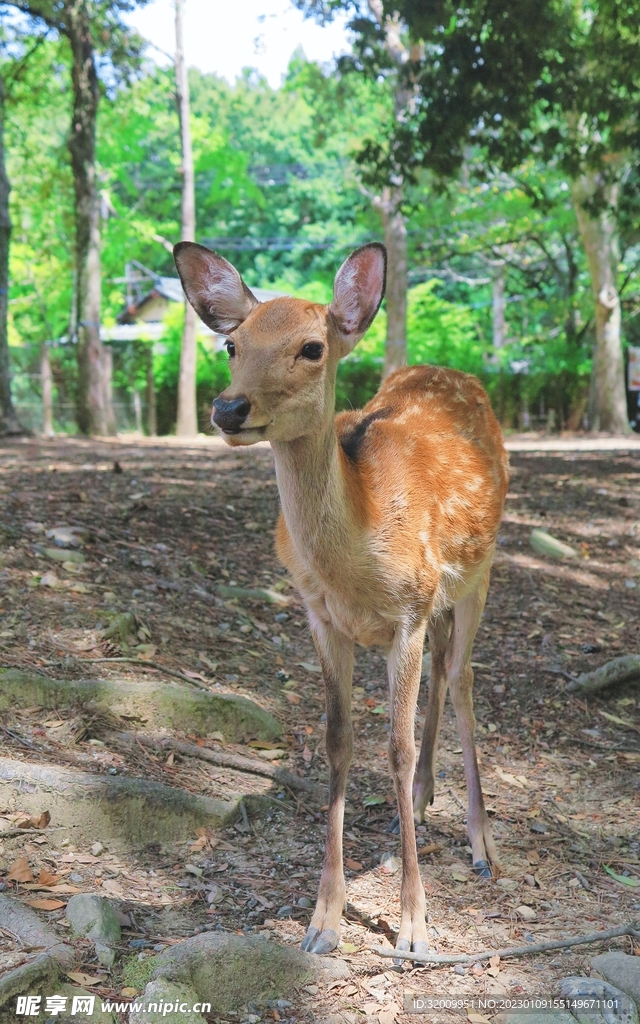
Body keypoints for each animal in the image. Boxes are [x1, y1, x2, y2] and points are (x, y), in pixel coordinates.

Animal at [174, 240, 509, 962]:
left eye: (311, 347)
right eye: (232, 344)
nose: (227, 409)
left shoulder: (409, 611)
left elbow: (395, 746)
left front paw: (414, 925)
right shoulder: (321, 616)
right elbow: (337, 741)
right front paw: (323, 919)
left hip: (479, 571)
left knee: (462, 677)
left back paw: (480, 844)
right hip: (440, 601)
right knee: (443, 670)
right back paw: (424, 798)